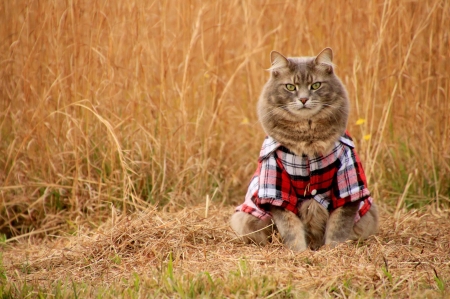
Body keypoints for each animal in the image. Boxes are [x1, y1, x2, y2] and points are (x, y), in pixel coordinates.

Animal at [230, 48, 378, 252]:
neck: (308, 142)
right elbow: (291, 229)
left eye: (315, 85)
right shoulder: (276, 190)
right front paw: (299, 252)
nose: (303, 99)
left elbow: (338, 228)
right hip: (247, 218)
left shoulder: (348, 185)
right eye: (290, 87)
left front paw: (332, 250)